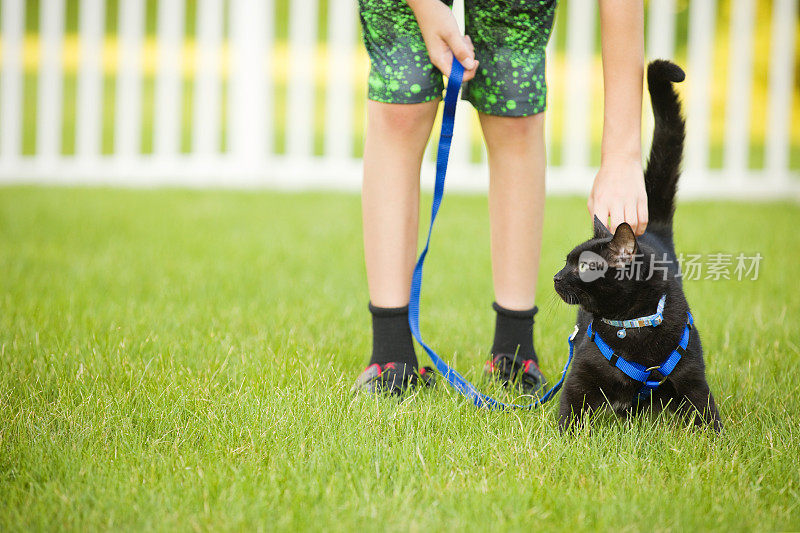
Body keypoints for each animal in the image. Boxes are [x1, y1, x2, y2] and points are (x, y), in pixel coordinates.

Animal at [552, 59, 720, 432]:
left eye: (583, 265)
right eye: (565, 261)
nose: (555, 277)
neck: (630, 327)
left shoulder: (693, 378)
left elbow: (707, 414)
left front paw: (720, 441)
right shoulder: (580, 377)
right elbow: (569, 411)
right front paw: (561, 439)